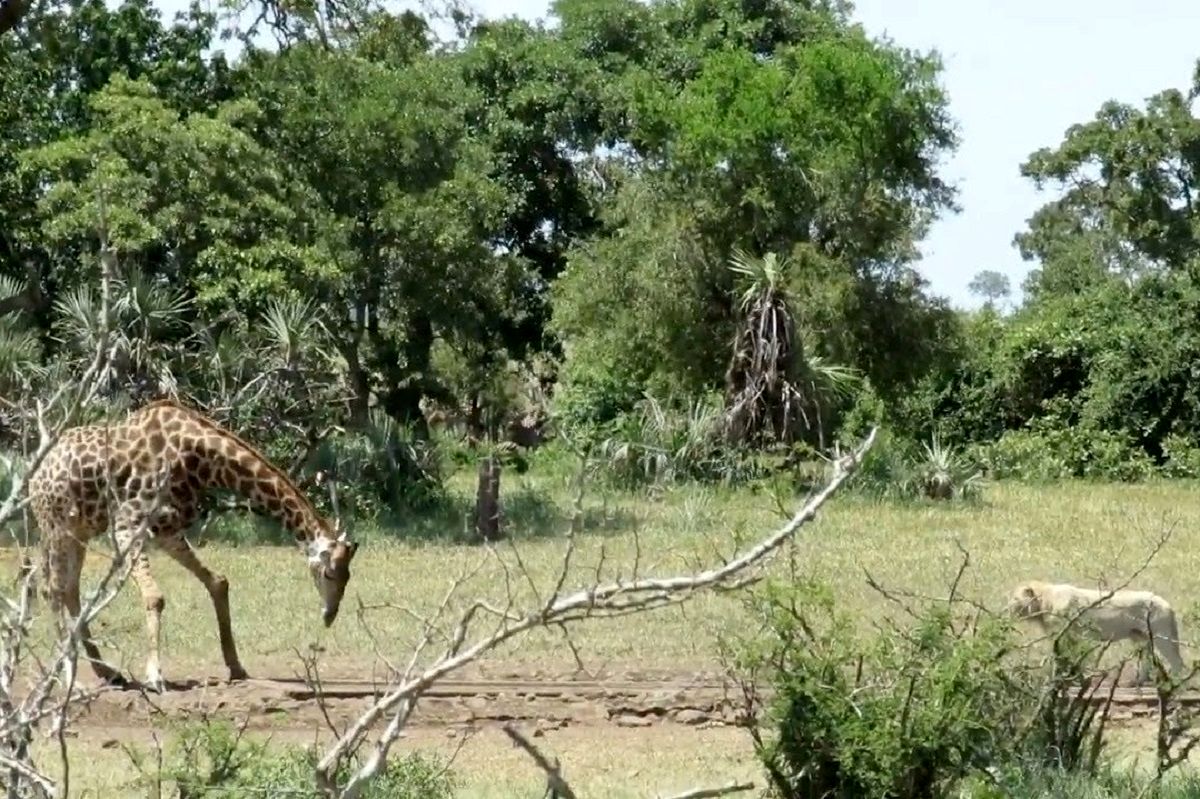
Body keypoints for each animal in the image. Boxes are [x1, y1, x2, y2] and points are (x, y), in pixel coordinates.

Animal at [25, 398, 357, 691]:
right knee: (52, 589)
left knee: (70, 589)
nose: (329, 616)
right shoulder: (127, 525)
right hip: (55, 525)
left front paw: (236, 667)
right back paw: (70, 679)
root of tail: (35, 471)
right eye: (329, 573)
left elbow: (218, 582)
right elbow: (154, 597)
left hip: (81, 529)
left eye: (348, 577)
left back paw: (108, 673)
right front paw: (155, 676)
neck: (201, 460)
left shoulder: (168, 530)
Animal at [1008, 575, 1185, 681]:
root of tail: (1167, 604)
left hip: (1161, 637)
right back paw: (1139, 682)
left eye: (1015, 598)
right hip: (1140, 637)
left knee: (1177, 662)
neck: (1045, 600)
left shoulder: (1066, 634)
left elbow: (1063, 658)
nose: (1007, 608)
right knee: (1149, 661)